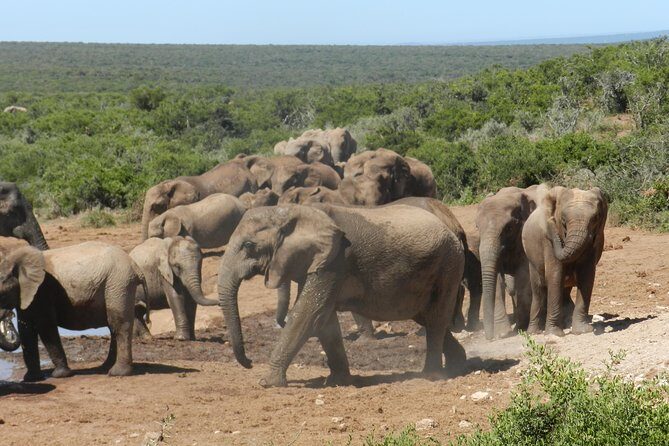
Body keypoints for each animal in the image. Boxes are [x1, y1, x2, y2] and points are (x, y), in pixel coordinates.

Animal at [0, 242, 144, 381]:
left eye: (3, 294)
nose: (8, 316)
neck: (12, 260)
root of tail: (134, 264)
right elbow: (26, 329)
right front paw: (31, 378)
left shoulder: (42, 290)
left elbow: (46, 327)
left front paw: (60, 375)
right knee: (113, 326)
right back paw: (105, 367)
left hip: (118, 284)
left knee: (119, 324)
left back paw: (117, 373)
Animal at [218, 203, 466, 387]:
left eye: (248, 245)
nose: (250, 362)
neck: (295, 211)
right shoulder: (319, 263)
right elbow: (325, 320)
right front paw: (338, 381)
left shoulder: (335, 261)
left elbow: (307, 313)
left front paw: (267, 383)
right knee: (427, 317)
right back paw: (459, 365)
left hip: (448, 265)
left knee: (436, 318)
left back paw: (432, 376)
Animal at [476, 185, 538, 340]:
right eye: (477, 227)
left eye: (509, 228)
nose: (489, 338)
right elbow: (498, 279)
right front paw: (502, 333)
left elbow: (524, 275)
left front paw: (520, 328)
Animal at [522, 185, 607, 336]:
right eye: (562, 220)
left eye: (595, 218)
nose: (550, 221)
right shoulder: (547, 244)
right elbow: (555, 275)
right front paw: (554, 334)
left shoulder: (595, 241)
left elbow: (586, 276)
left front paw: (582, 331)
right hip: (532, 259)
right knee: (538, 291)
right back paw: (533, 333)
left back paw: (566, 324)